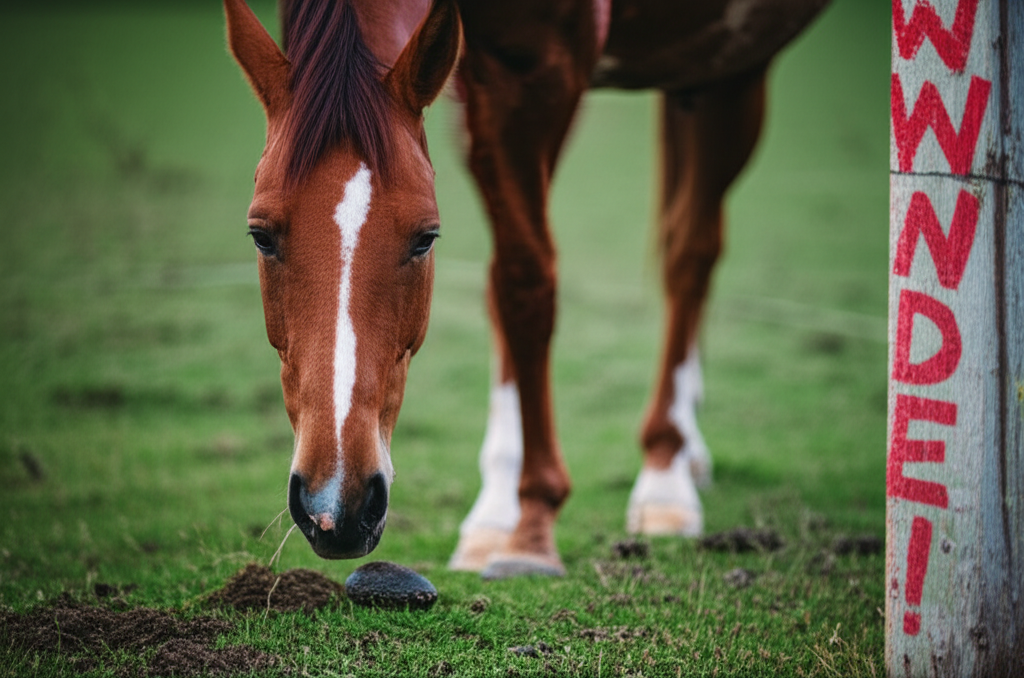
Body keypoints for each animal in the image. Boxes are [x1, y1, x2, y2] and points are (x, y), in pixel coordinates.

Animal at [223, 0, 828, 578]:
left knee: (689, 253)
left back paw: (666, 474)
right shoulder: (477, 92)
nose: (336, 507)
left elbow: (525, 280)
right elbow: (498, 283)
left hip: (731, 71)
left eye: (425, 238)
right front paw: (496, 510)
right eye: (260, 235)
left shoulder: (539, 76)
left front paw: (532, 526)